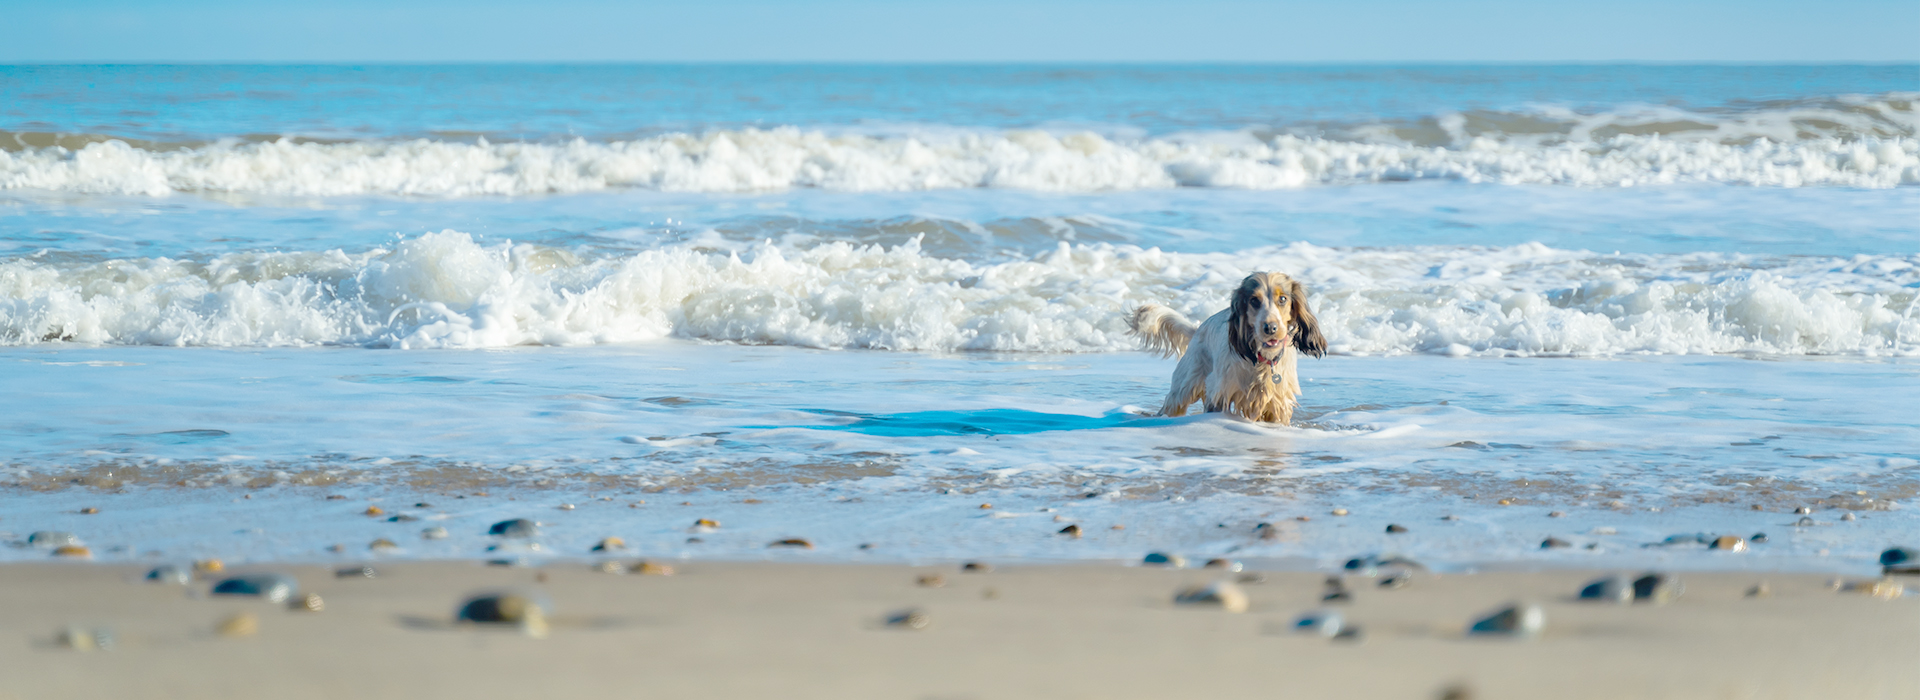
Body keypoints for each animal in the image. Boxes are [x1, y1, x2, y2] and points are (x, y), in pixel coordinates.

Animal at [1128, 270, 1328, 425]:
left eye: (1283, 299)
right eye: (1254, 301)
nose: (1270, 328)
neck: (1261, 359)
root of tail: (1197, 329)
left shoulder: (1278, 403)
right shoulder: (1219, 392)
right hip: (1184, 387)